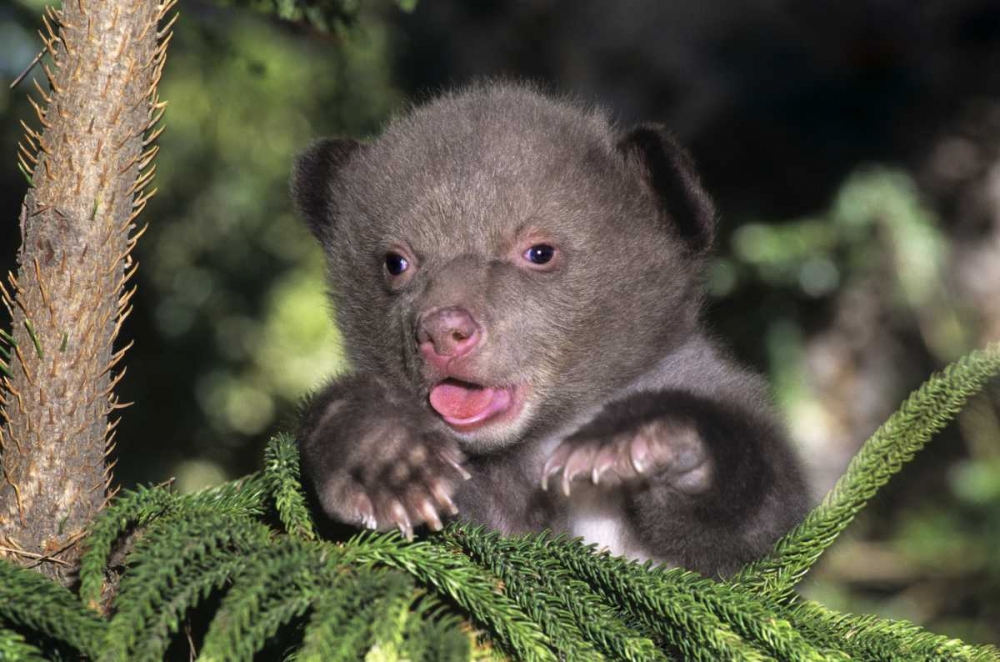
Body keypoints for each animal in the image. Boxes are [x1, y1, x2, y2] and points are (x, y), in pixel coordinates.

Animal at [292, 82, 808, 577]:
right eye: (396, 262)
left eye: (539, 251)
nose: (444, 331)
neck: (538, 439)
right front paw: (388, 458)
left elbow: (761, 508)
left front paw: (639, 439)